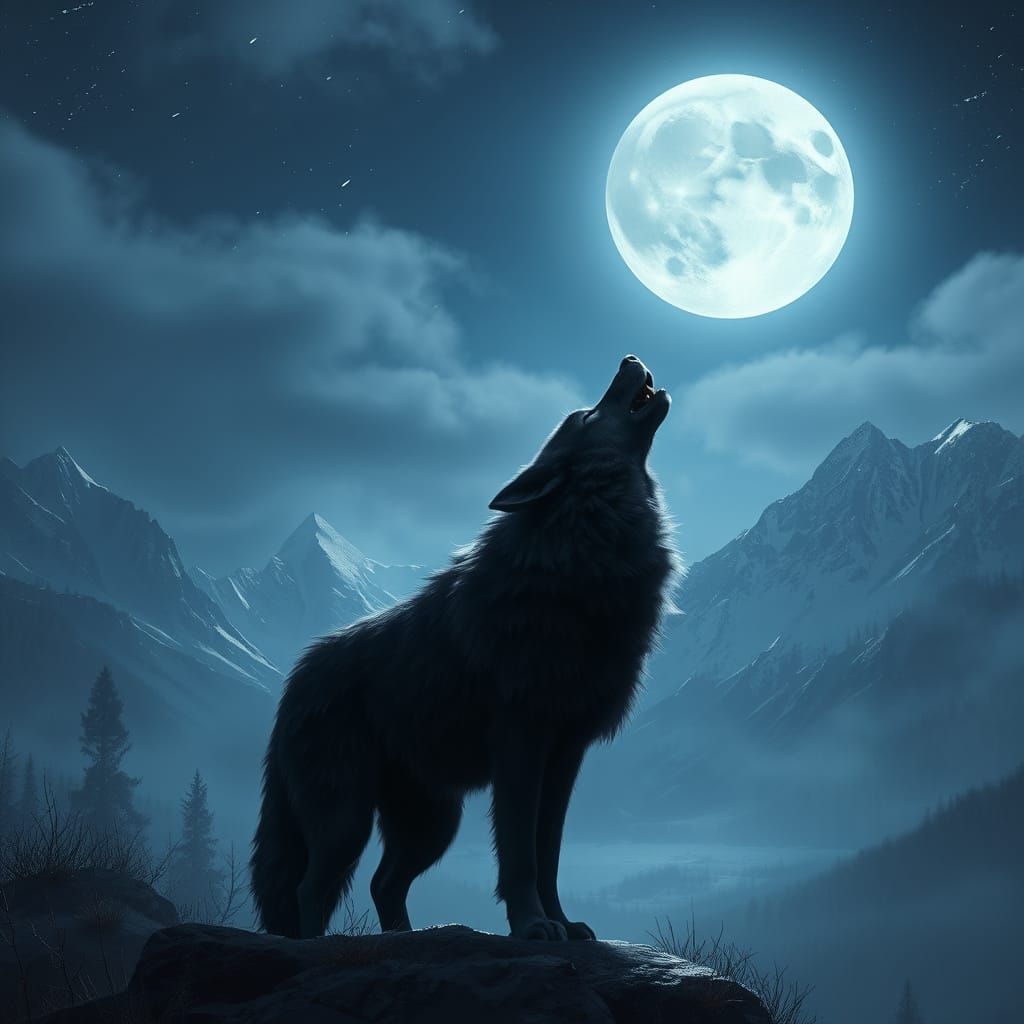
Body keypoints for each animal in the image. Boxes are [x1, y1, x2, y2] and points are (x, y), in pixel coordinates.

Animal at [250, 355, 676, 941]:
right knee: (309, 890)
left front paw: (563, 924)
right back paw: (319, 949)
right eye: (586, 415)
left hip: (433, 824)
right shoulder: (521, 742)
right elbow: (520, 855)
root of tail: (293, 678)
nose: (629, 359)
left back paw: (403, 942)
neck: (580, 556)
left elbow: (549, 855)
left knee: (383, 884)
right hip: (347, 820)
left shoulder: (565, 755)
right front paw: (532, 926)